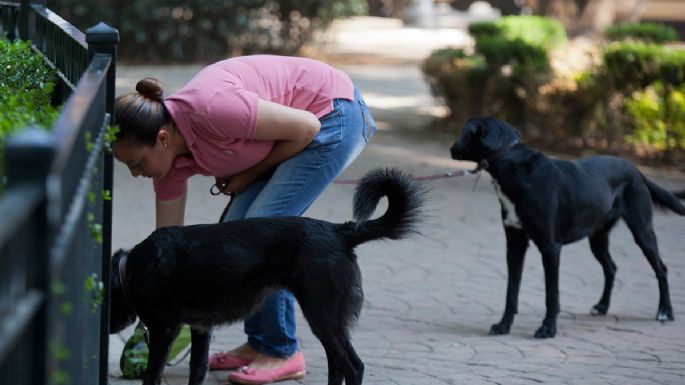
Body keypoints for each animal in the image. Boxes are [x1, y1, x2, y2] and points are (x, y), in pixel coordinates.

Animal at [110, 167, 424, 384]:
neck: (131, 268)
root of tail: (340, 231)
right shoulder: (201, 329)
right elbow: (197, 370)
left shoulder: (165, 330)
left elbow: (151, 376)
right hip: (325, 320)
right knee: (337, 365)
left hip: (323, 315)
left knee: (353, 366)